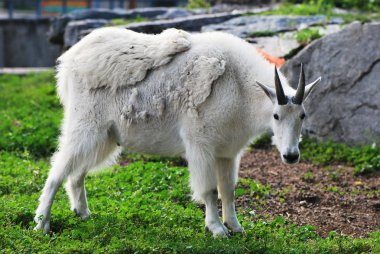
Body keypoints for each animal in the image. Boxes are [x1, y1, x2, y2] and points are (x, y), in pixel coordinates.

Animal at [35, 26, 320, 237]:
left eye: (302, 115)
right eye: (276, 115)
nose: (291, 156)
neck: (240, 88)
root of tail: (68, 62)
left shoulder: (227, 152)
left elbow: (228, 189)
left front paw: (236, 227)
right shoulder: (200, 143)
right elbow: (209, 190)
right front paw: (217, 229)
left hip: (106, 136)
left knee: (77, 173)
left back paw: (83, 213)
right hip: (85, 125)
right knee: (57, 170)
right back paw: (42, 224)